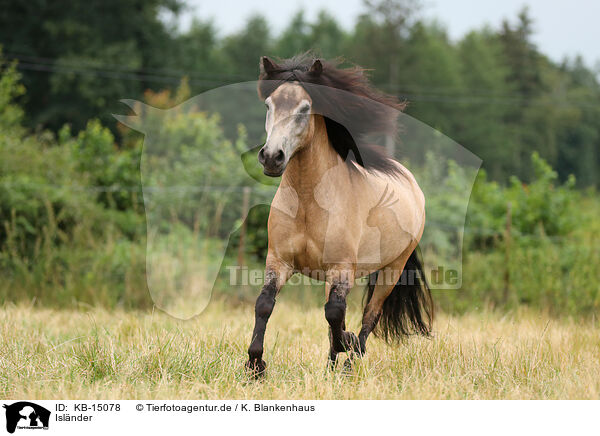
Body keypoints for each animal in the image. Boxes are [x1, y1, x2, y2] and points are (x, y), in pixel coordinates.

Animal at [246, 54, 434, 374]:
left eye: (304, 108)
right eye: (269, 105)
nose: (271, 157)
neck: (309, 201)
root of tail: (412, 184)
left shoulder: (342, 268)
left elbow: (336, 314)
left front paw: (347, 342)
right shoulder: (279, 261)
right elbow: (265, 304)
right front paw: (255, 364)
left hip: (392, 269)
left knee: (370, 314)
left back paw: (350, 360)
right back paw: (333, 365)